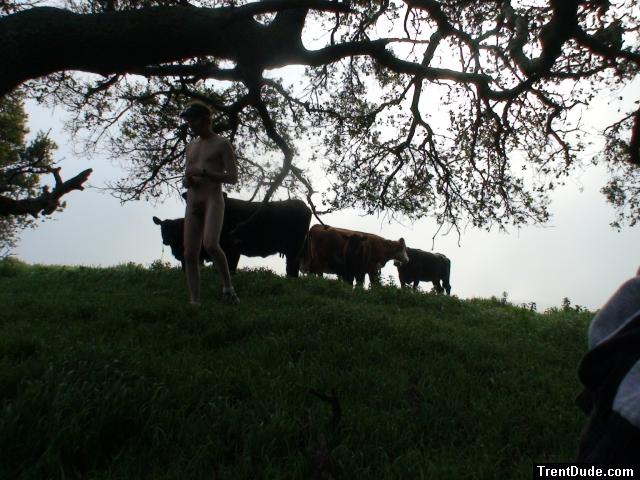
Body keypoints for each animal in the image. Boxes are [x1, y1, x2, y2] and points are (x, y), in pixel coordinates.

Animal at [153, 195, 311, 277]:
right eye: (162, 229)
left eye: (174, 229)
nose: (166, 240)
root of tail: (303, 205)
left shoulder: (232, 250)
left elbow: (230, 268)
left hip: (294, 248)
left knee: (292, 267)